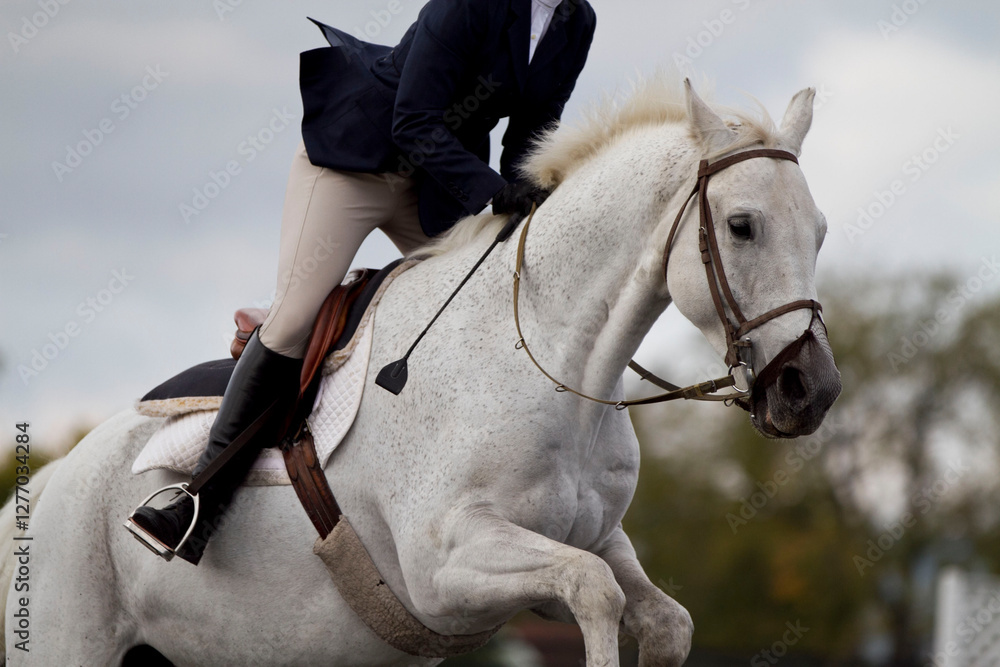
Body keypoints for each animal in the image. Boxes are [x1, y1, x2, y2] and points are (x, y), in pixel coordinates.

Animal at [2, 79, 840, 666]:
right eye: (741, 225)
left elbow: (663, 617)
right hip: (69, 638)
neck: (550, 358)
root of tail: (45, 488)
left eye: (821, 230)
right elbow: (594, 594)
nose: (814, 390)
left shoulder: (595, 541)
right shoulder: (446, 568)